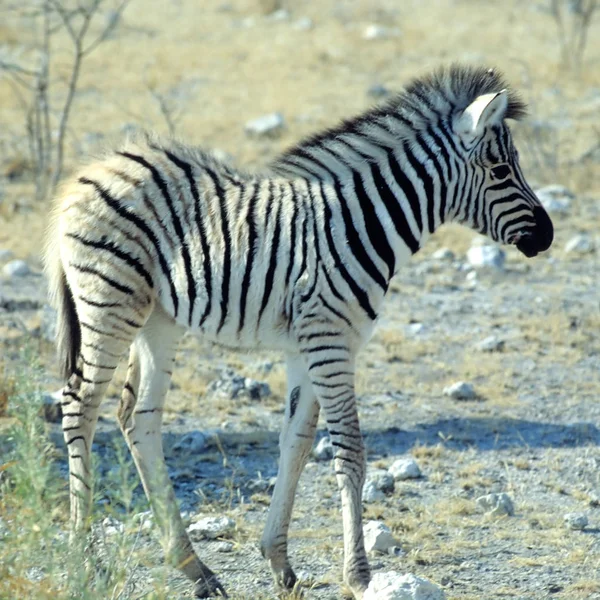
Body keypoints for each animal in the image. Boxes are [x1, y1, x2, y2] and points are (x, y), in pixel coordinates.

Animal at [45, 65, 552, 600]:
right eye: (501, 171)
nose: (548, 236)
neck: (362, 225)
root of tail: (88, 174)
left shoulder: (309, 346)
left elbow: (297, 444)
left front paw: (280, 563)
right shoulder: (330, 340)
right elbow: (349, 449)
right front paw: (359, 575)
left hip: (158, 320)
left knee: (138, 417)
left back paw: (195, 569)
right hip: (109, 302)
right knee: (80, 406)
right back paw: (87, 559)